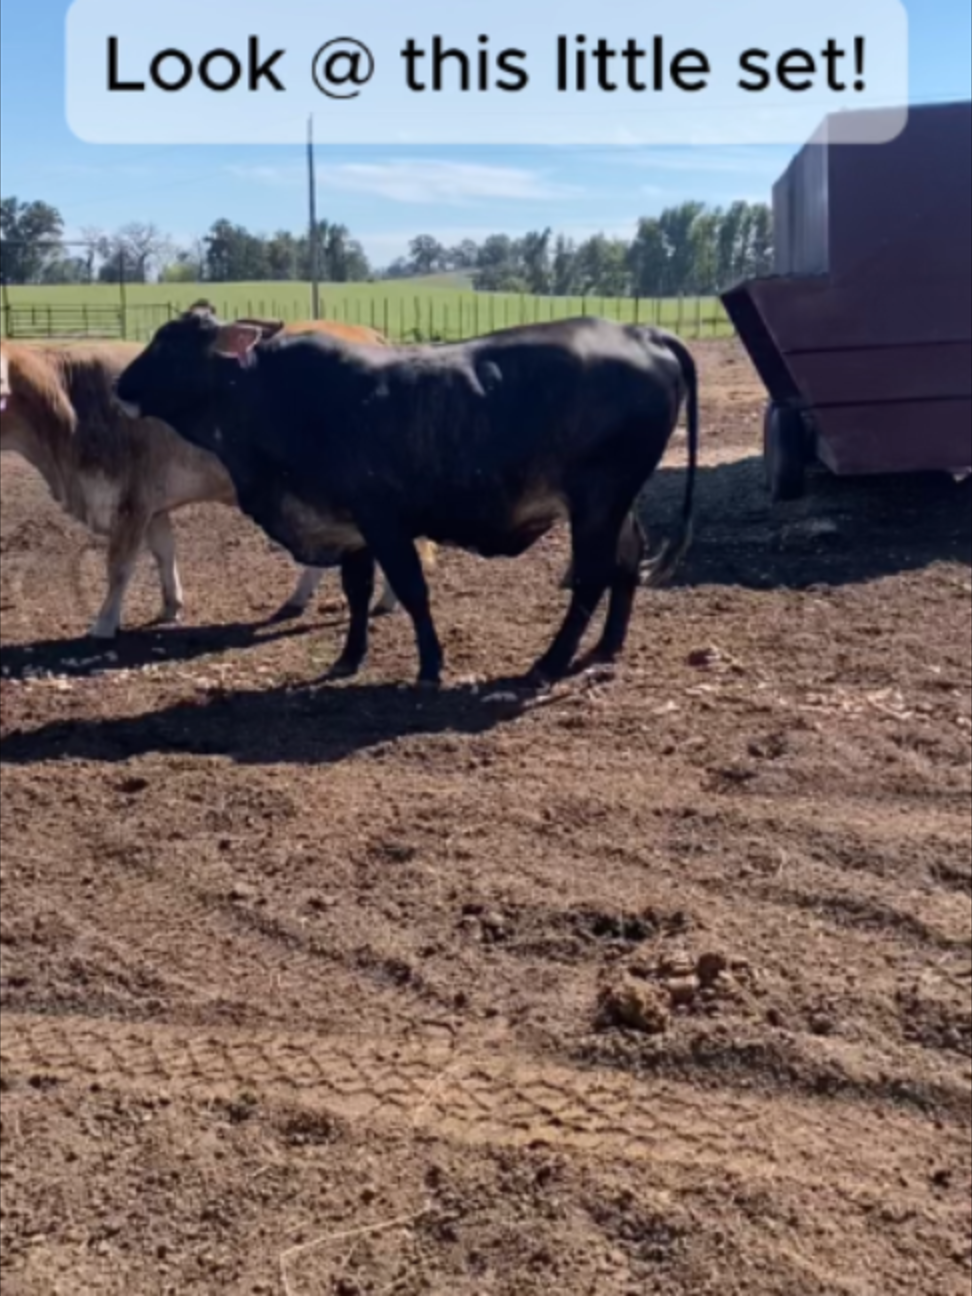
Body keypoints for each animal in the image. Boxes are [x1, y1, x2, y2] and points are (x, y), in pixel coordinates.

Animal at [0, 339, 326, 638]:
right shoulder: (153, 506)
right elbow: (164, 553)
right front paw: (171, 607)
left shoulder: (131, 502)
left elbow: (119, 565)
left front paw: (104, 624)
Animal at [115, 310, 698, 687]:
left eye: (168, 343)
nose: (119, 387)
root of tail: (642, 332)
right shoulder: (348, 526)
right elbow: (355, 593)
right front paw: (349, 658)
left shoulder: (384, 521)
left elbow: (414, 591)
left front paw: (430, 666)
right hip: (617, 501)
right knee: (627, 562)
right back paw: (606, 647)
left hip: (597, 500)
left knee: (592, 576)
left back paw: (549, 664)